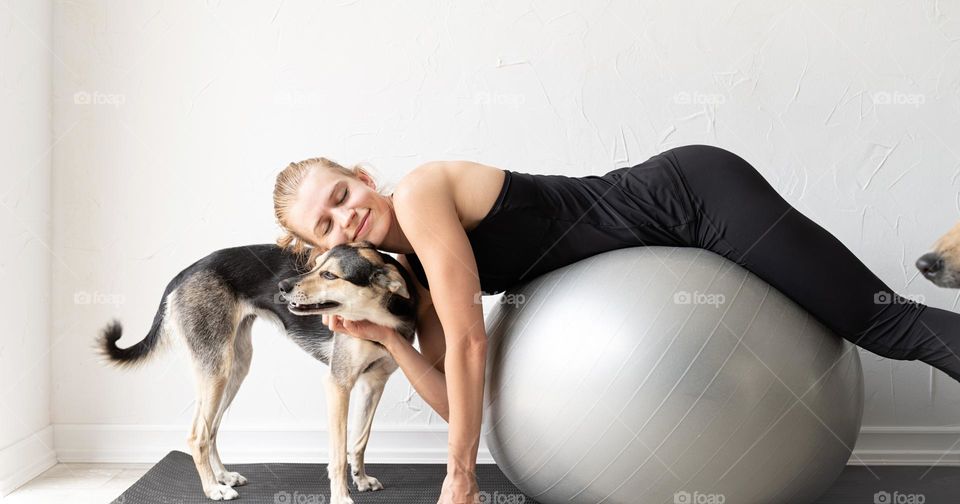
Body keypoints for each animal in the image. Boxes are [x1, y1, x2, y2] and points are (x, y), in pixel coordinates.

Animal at [94, 240, 420, 500]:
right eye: (314, 266)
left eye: (329, 274)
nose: (283, 287)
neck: (378, 317)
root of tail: (185, 273)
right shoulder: (338, 385)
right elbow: (338, 454)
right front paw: (341, 498)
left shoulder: (373, 384)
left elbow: (360, 441)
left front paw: (361, 480)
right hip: (216, 370)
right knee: (197, 436)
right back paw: (212, 489)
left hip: (233, 369)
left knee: (211, 429)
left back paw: (223, 476)